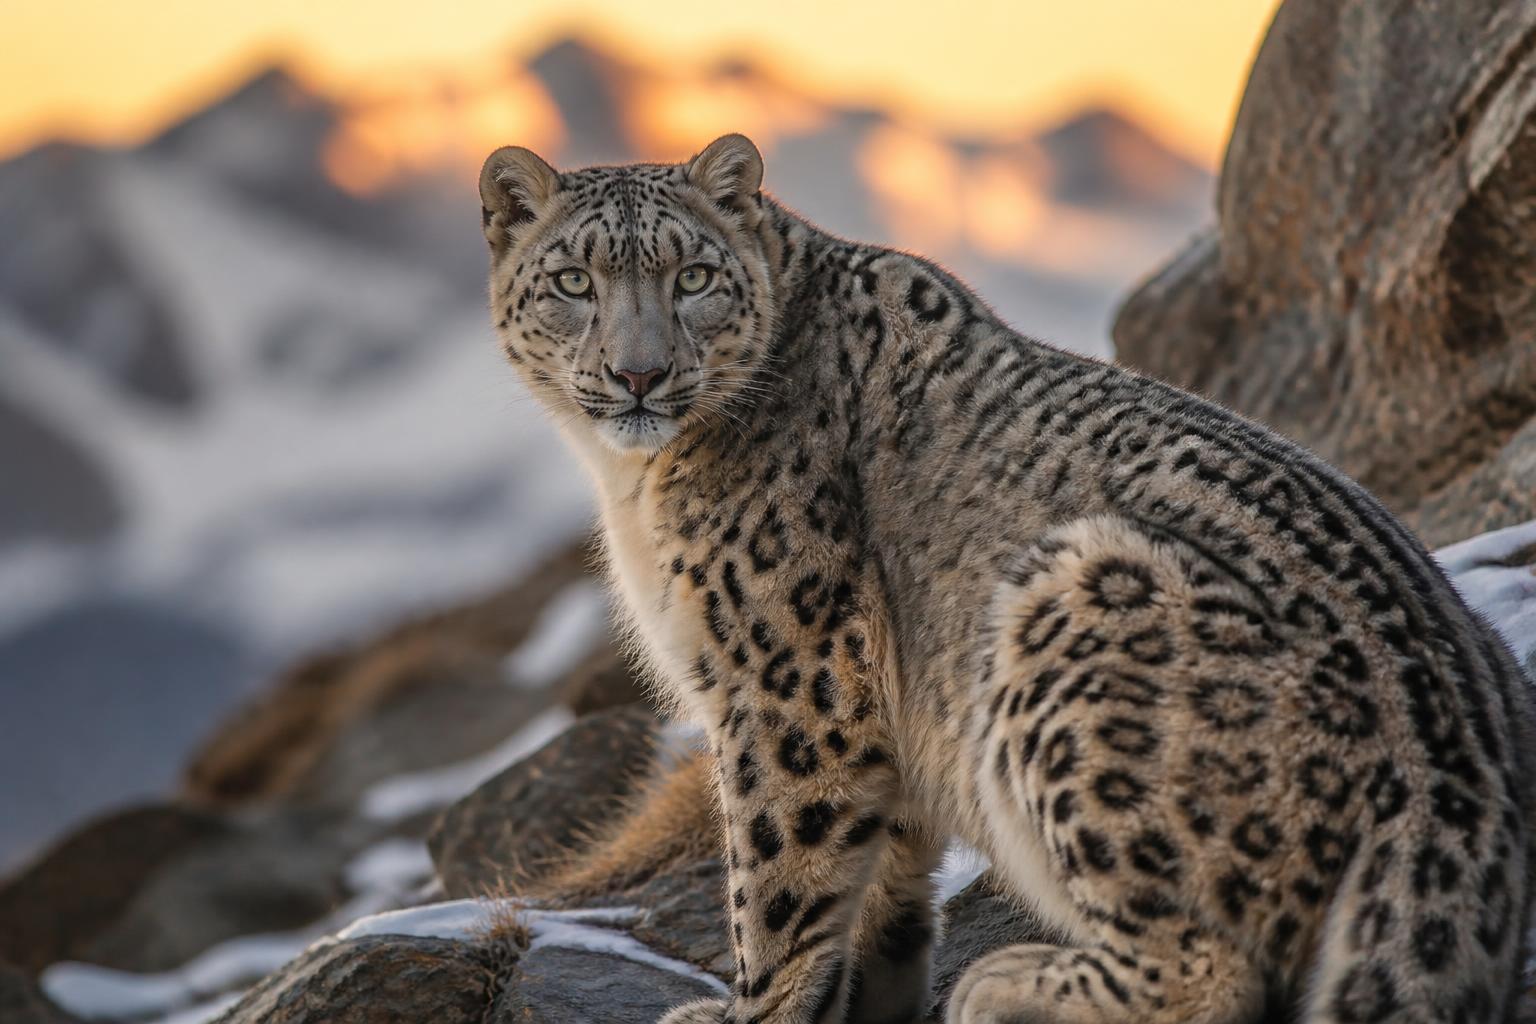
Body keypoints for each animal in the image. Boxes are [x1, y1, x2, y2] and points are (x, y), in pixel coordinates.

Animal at [478, 133, 1535, 1024]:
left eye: (693, 276)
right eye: (572, 280)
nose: (640, 375)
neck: (633, 485)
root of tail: (1462, 775)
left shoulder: (789, 685)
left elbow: (775, 879)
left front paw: (750, 1013)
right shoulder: (879, 728)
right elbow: (881, 884)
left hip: (1075, 617)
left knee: (1209, 968)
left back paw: (1006, 985)